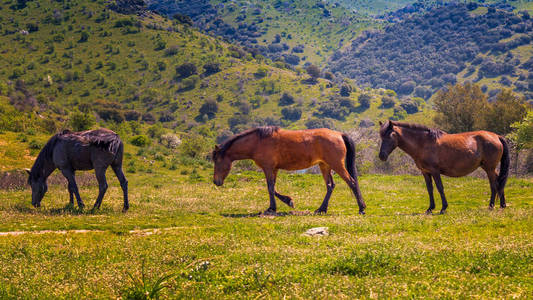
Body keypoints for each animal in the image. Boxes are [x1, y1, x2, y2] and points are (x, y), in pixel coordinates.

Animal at [212, 125, 366, 214]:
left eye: (217, 160)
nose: (216, 181)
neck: (258, 142)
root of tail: (339, 134)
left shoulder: (268, 168)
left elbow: (270, 188)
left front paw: (273, 207)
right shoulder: (273, 169)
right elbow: (273, 188)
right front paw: (287, 201)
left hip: (336, 165)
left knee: (352, 182)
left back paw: (361, 209)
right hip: (325, 166)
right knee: (330, 186)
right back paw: (321, 209)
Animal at [376, 120, 510, 214]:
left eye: (389, 136)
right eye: (381, 137)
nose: (381, 156)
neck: (423, 143)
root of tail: (497, 136)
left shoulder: (435, 171)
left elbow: (440, 188)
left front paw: (443, 208)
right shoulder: (425, 172)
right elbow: (430, 189)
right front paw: (430, 208)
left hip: (489, 168)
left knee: (494, 184)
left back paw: (491, 206)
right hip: (489, 168)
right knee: (499, 182)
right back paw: (502, 205)